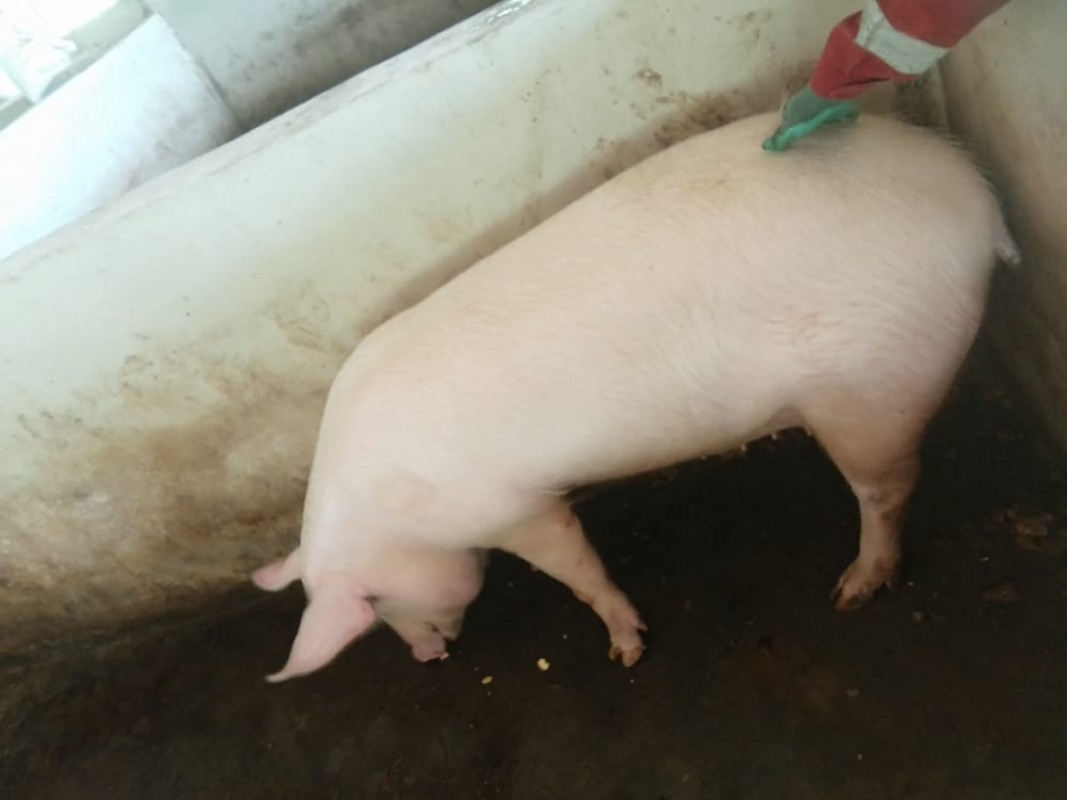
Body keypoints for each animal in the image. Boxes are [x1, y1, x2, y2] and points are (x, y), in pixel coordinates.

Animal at [253, 110, 1019, 682]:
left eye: (374, 604)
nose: (426, 655)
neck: (386, 509)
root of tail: (975, 197)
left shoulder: (516, 510)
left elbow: (577, 569)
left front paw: (626, 650)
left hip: (871, 388)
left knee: (887, 489)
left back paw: (852, 590)